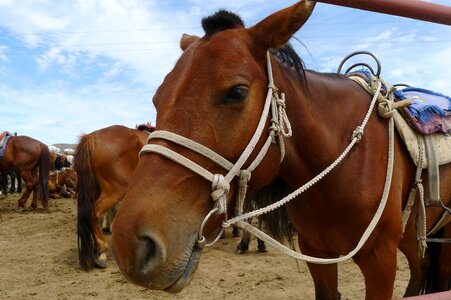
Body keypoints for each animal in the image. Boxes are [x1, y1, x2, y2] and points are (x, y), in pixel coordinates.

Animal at [110, 1, 451, 298]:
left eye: (237, 92)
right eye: (157, 98)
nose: (130, 244)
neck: (342, 164)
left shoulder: (381, 261)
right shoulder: (316, 253)